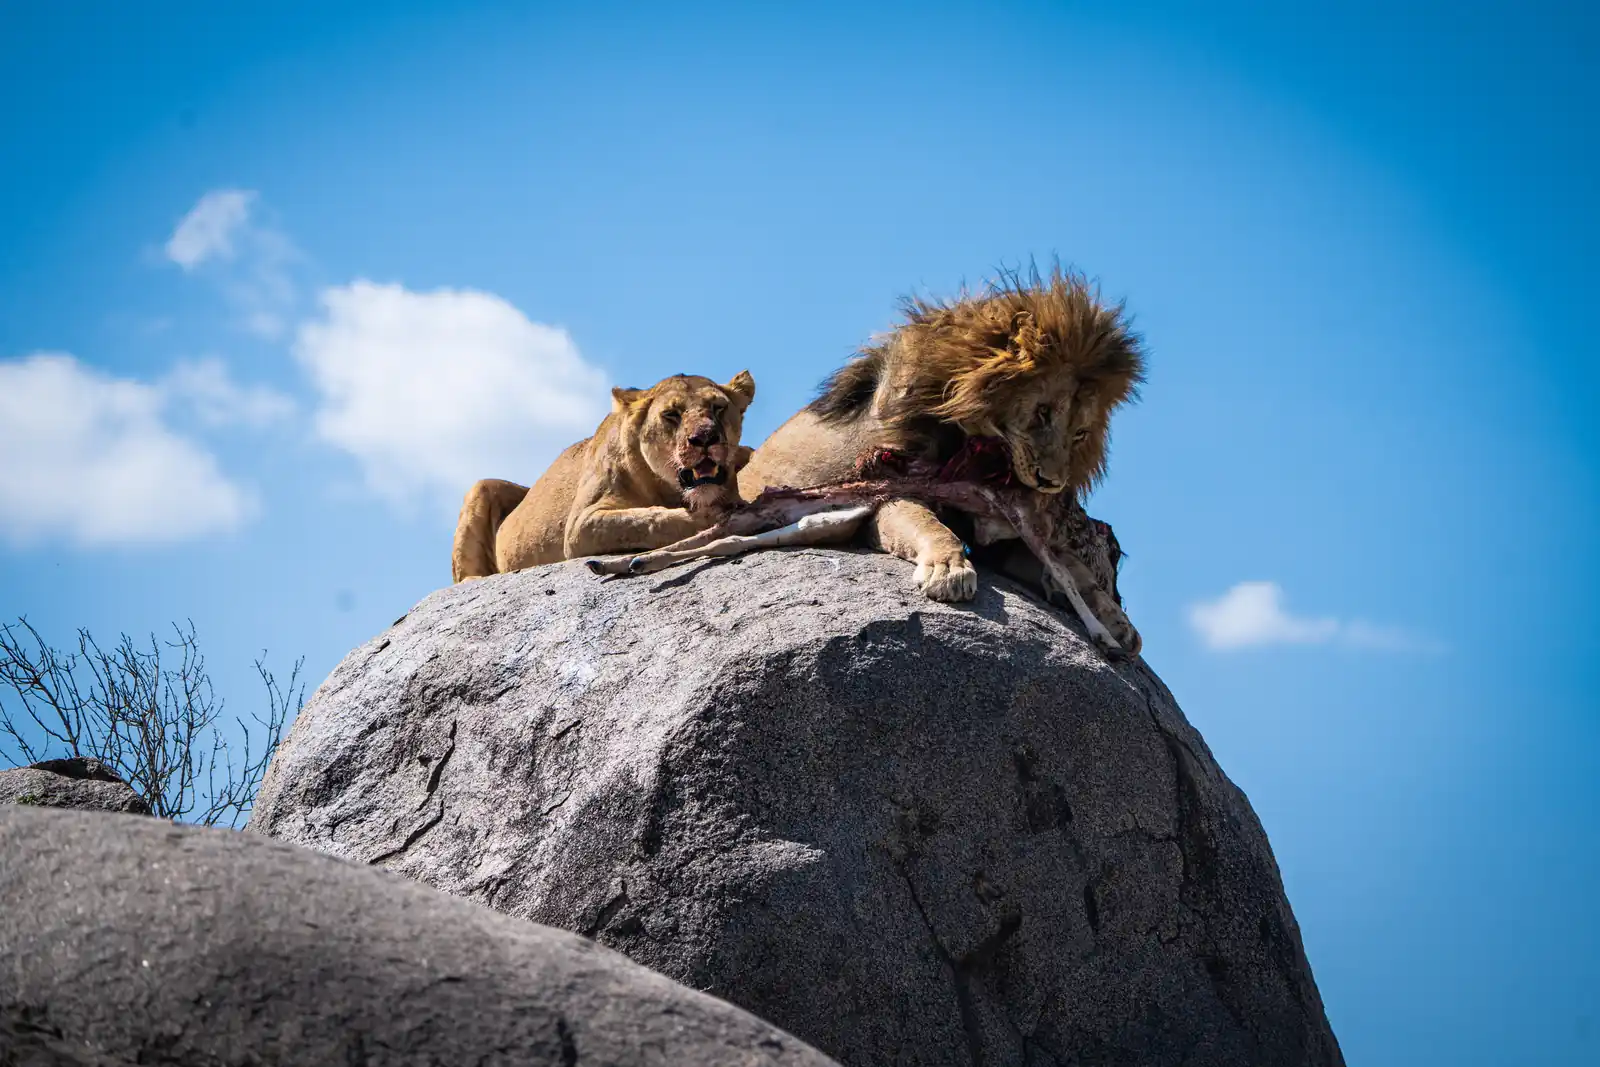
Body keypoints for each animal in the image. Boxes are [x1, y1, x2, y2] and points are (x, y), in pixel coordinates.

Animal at [451, 371, 756, 582]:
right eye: (671, 414)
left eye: (718, 407)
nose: (705, 437)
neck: (668, 488)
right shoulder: (580, 525)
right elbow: (644, 520)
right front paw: (714, 515)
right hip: (480, 487)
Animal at [738, 266, 1144, 629]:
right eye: (1042, 412)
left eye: (1080, 434)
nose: (1051, 483)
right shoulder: (883, 490)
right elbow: (930, 524)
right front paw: (950, 569)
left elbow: (1070, 568)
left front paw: (1113, 617)